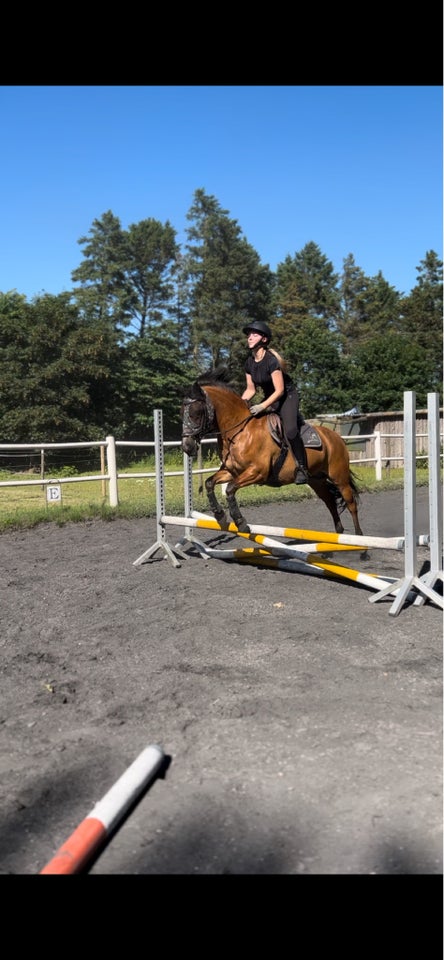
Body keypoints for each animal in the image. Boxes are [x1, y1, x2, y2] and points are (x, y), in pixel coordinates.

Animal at [180, 370, 364, 540]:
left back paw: (360, 542)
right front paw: (220, 515)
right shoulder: (232, 471)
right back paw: (338, 536)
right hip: (316, 480)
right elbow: (210, 483)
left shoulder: (257, 472)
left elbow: (230, 488)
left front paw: (241, 523)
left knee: (351, 504)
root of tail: (337, 437)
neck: (239, 431)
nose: (187, 446)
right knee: (330, 502)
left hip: (339, 477)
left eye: (196, 412)